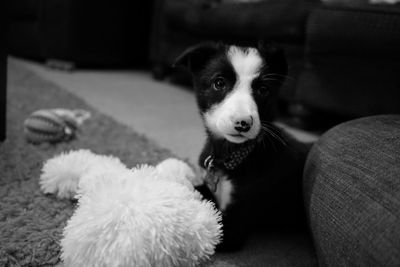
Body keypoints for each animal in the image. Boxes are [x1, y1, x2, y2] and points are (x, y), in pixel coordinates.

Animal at [175, 41, 310, 251]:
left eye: (263, 90)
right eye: (219, 83)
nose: (243, 123)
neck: (231, 155)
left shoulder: (234, 225)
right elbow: (197, 189)